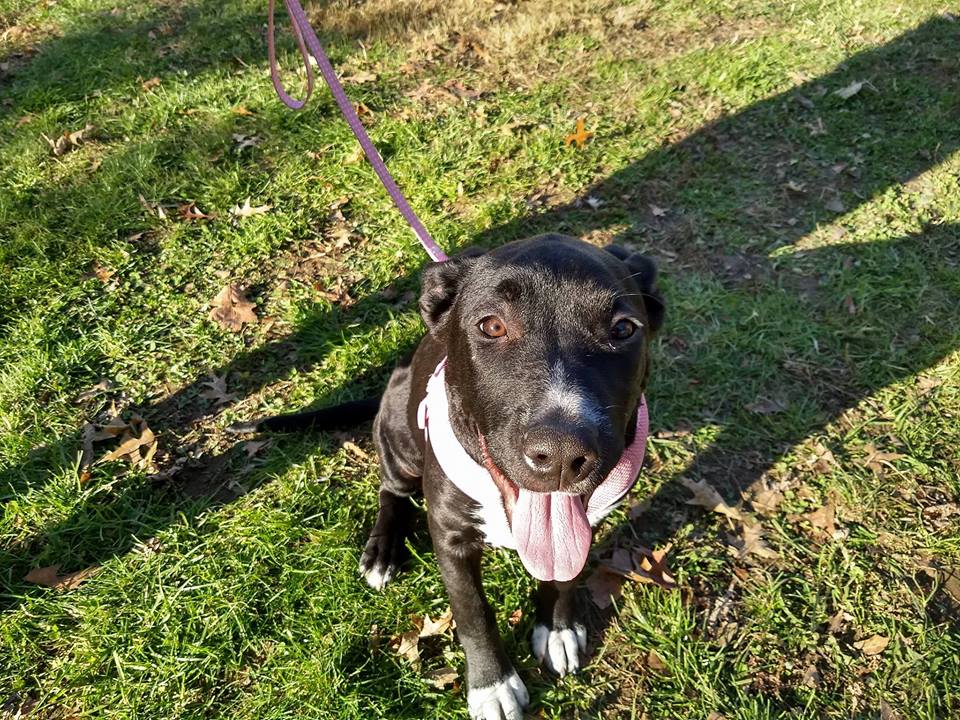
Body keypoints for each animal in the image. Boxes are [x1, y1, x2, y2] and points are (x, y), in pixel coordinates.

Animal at [237, 233, 664, 716]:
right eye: (491, 326)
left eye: (623, 329)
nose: (560, 455)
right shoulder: (449, 534)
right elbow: (472, 611)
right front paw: (492, 685)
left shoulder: (587, 520)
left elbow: (564, 572)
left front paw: (557, 629)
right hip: (399, 431)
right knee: (391, 490)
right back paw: (382, 550)